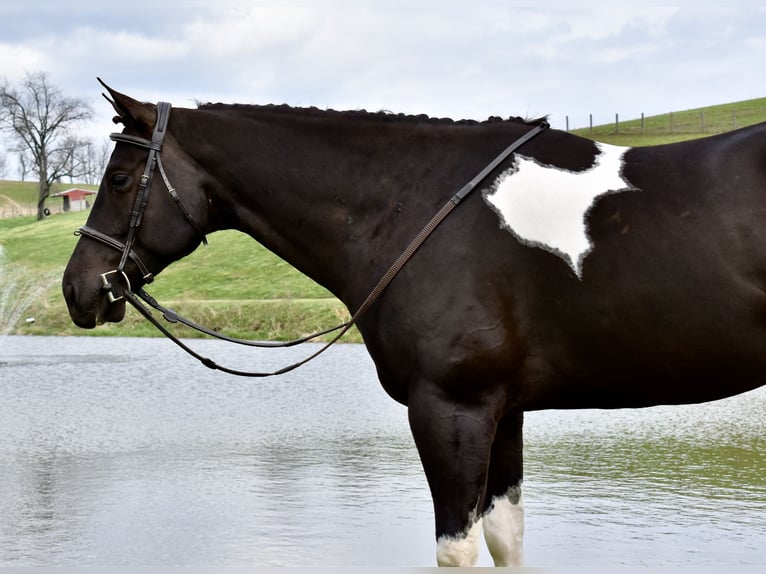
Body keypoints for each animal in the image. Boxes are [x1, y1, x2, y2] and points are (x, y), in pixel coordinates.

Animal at [62, 83, 766, 567]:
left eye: (119, 178)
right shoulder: (503, 411)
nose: (78, 289)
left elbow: (457, 549)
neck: (419, 206)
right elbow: (505, 537)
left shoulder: (451, 408)